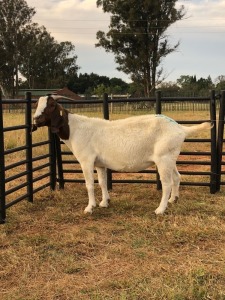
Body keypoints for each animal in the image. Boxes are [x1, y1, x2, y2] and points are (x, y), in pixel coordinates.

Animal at [32, 95, 213, 214]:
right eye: (36, 104)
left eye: (50, 105)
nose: (35, 119)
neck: (75, 129)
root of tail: (181, 129)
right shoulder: (99, 163)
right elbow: (102, 183)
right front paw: (104, 202)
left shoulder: (86, 160)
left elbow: (89, 184)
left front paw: (90, 207)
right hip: (171, 157)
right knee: (177, 177)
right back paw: (173, 200)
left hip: (163, 158)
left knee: (167, 183)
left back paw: (160, 209)